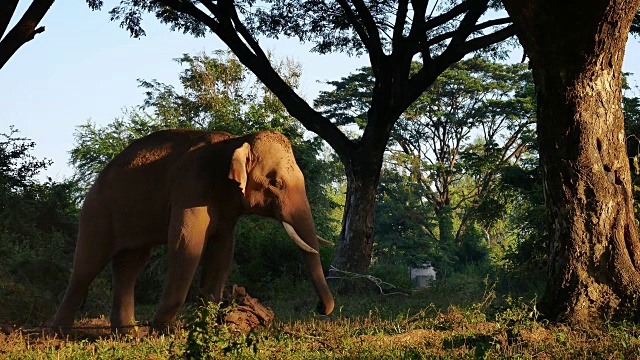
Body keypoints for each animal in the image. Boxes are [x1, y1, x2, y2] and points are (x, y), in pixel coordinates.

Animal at [51, 128, 336, 334]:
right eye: (276, 183)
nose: (321, 308)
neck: (235, 141)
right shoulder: (191, 189)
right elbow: (186, 244)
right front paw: (161, 332)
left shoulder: (226, 209)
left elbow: (222, 251)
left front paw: (206, 324)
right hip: (98, 211)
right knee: (86, 266)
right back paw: (60, 333)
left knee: (130, 265)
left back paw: (126, 334)